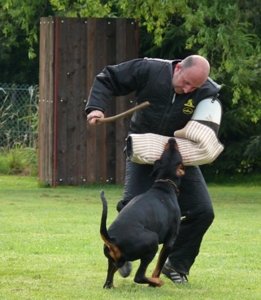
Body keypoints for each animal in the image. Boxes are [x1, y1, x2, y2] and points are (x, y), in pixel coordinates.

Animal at [99, 138, 183, 288]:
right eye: (178, 155)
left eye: (165, 152)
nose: (172, 139)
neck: (165, 185)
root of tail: (112, 240)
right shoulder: (169, 242)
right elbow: (158, 268)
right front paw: (154, 282)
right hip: (152, 241)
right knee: (139, 276)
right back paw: (157, 282)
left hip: (112, 259)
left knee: (109, 278)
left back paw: (111, 285)